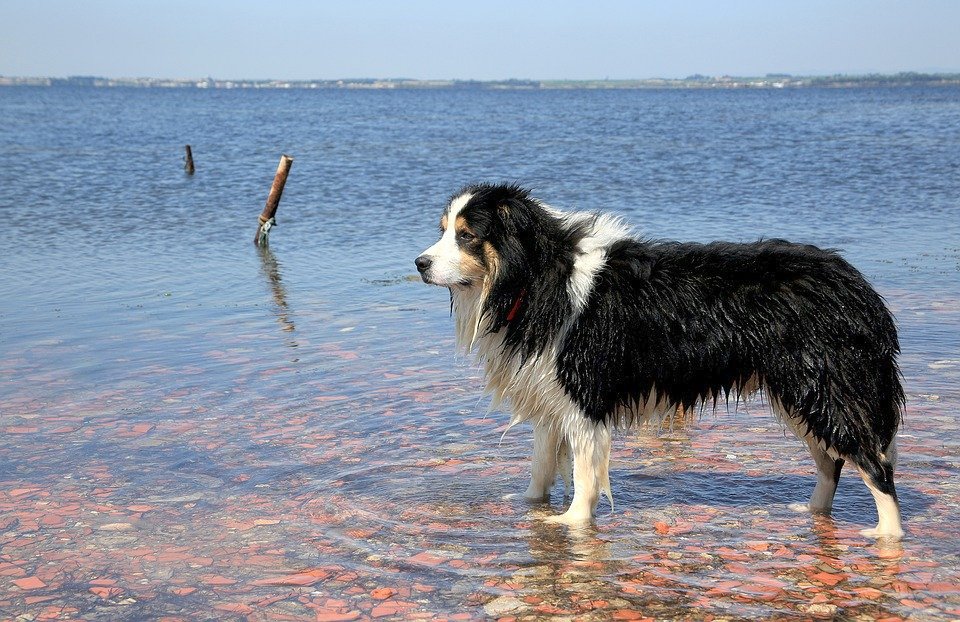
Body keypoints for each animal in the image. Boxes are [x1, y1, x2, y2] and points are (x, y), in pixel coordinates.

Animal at [414, 183, 908, 540]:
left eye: (466, 235)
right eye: (442, 230)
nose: (419, 263)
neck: (535, 276)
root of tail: (860, 288)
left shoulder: (584, 395)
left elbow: (584, 476)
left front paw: (570, 525)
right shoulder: (549, 394)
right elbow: (540, 469)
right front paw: (529, 509)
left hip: (827, 385)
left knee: (874, 463)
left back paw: (886, 535)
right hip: (802, 391)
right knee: (831, 462)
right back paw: (811, 512)